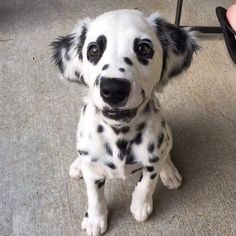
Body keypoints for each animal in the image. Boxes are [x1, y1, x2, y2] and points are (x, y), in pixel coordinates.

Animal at [50, 9, 198, 236]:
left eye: (144, 48)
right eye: (93, 49)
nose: (113, 89)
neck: (119, 133)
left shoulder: (152, 161)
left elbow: (146, 185)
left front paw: (140, 206)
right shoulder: (93, 173)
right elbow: (95, 197)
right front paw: (95, 220)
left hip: (167, 135)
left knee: (167, 152)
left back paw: (169, 171)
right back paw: (77, 166)